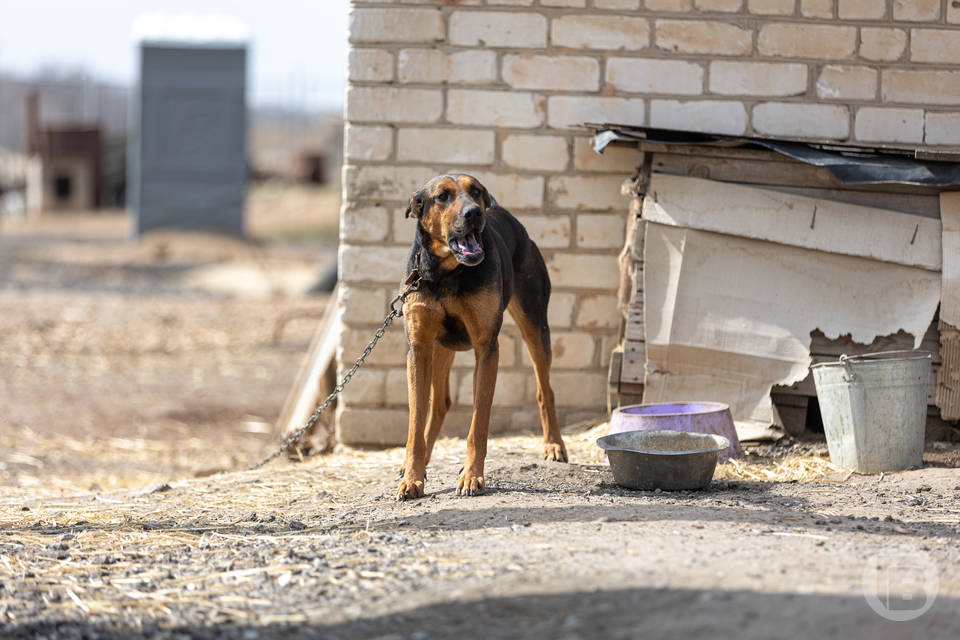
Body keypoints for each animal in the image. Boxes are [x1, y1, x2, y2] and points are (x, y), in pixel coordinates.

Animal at [396, 175, 568, 500]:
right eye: (442, 196)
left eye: (475, 190)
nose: (474, 212)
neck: (447, 274)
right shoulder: (419, 349)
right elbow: (415, 421)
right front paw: (412, 477)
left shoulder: (487, 349)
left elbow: (478, 424)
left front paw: (472, 476)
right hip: (440, 348)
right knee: (439, 403)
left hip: (535, 326)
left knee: (545, 390)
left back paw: (554, 445)